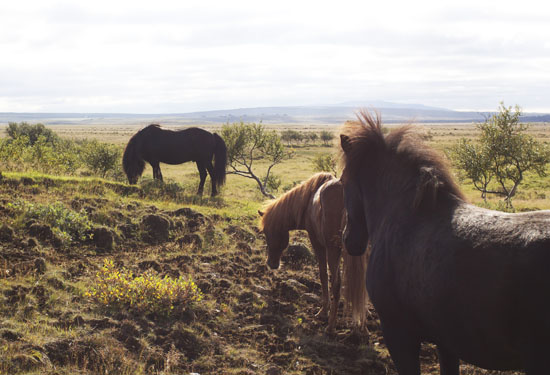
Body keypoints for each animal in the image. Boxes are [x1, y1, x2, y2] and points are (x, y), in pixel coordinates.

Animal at [258, 173, 370, 332]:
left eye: (268, 232)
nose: (271, 264)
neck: (308, 201)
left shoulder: (318, 243)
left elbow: (323, 275)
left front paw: (323, 312)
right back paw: (362, 327)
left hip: (333, 250)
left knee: (336, 283)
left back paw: (330, 326)